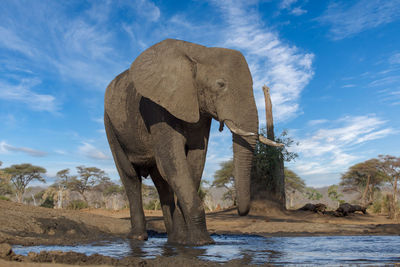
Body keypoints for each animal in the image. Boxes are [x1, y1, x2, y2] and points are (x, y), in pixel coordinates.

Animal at [103, 38, 280, 246]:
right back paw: (138, 238)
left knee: (161, 183)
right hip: (110, 125)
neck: (199, 52)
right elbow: (172, 163)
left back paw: (173, 239)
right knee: (130, 176)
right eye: (221, 84)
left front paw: (186, 242)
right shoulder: (157, 106)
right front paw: (202, 242)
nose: (240, 211)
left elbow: (195, 160)